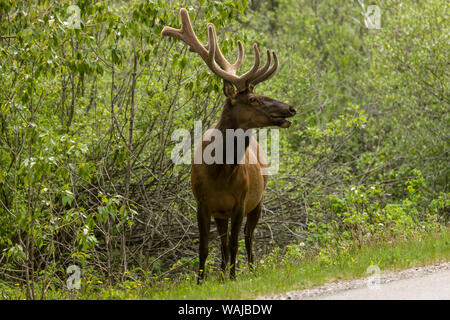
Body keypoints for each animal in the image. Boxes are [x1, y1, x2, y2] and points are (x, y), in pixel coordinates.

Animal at [162, 8, 296, 282]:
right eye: (253, 99)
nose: (290, 108)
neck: (219, 171)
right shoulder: (203, 204)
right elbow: (205, 247)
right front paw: (201, 281)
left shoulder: (240, 203)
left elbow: (235, 243)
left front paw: (234, 277)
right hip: (222, 213)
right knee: (224, 243)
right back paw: (223, 273)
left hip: (258, 200)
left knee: (247, 238)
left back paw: (249, 270)